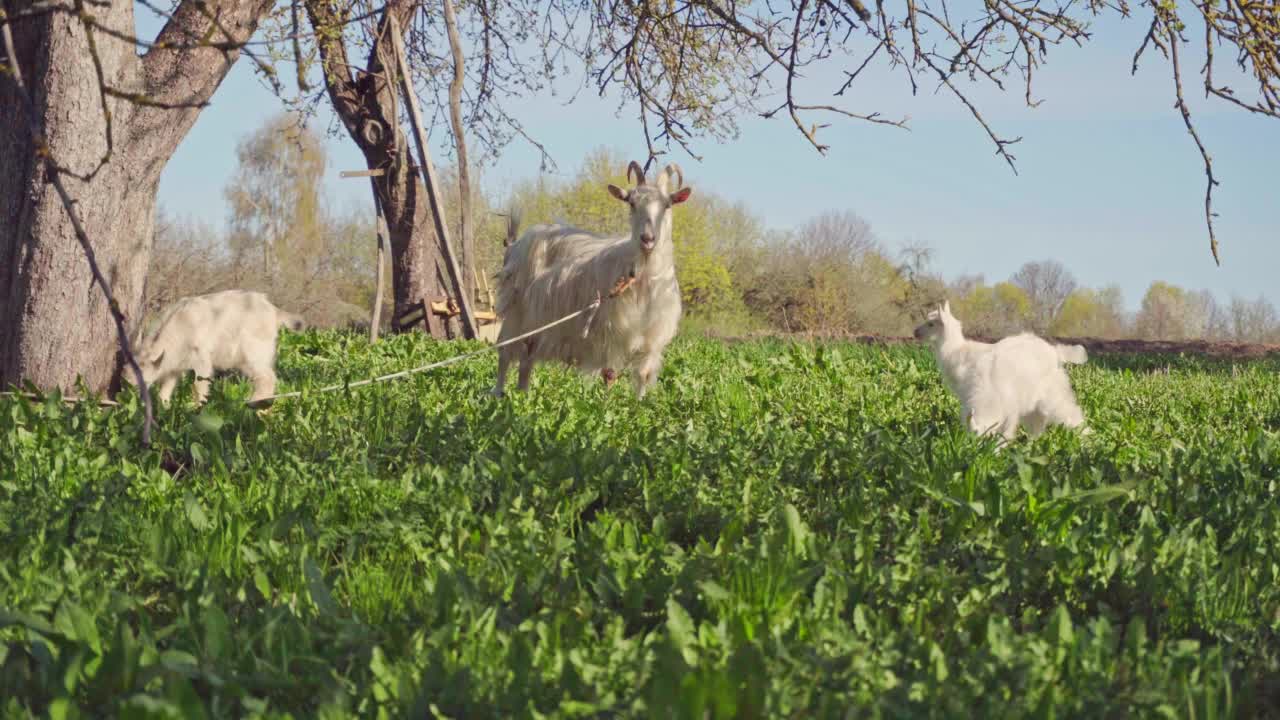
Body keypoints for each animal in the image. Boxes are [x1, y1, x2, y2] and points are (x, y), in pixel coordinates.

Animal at [491, 158, 691, 394]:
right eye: (631, 203)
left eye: (667, 205)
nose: (648, 238)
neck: (641, 277)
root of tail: (516, 244)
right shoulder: (611, 332)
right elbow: (609, 374)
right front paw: (605, 402)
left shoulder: (653, 338)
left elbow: (643, 375)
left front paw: (639, 403)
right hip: (516, 311)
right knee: (505, 353)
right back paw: (498, 394)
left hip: (536, 322)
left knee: (526, 360)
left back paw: (523, 395)